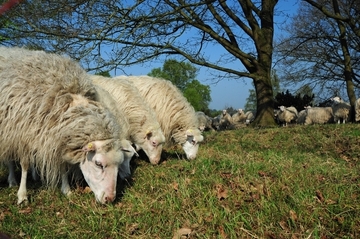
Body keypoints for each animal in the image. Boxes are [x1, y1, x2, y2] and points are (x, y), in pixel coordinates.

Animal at [0, 46, 129, 204]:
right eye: (98, 164)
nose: (109, 198)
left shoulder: (58, 139)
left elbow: (62, 166)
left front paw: (66, 190)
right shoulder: (23, 135)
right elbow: (24, 164)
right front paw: (22, 195)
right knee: (10, 160)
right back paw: (12, 181)